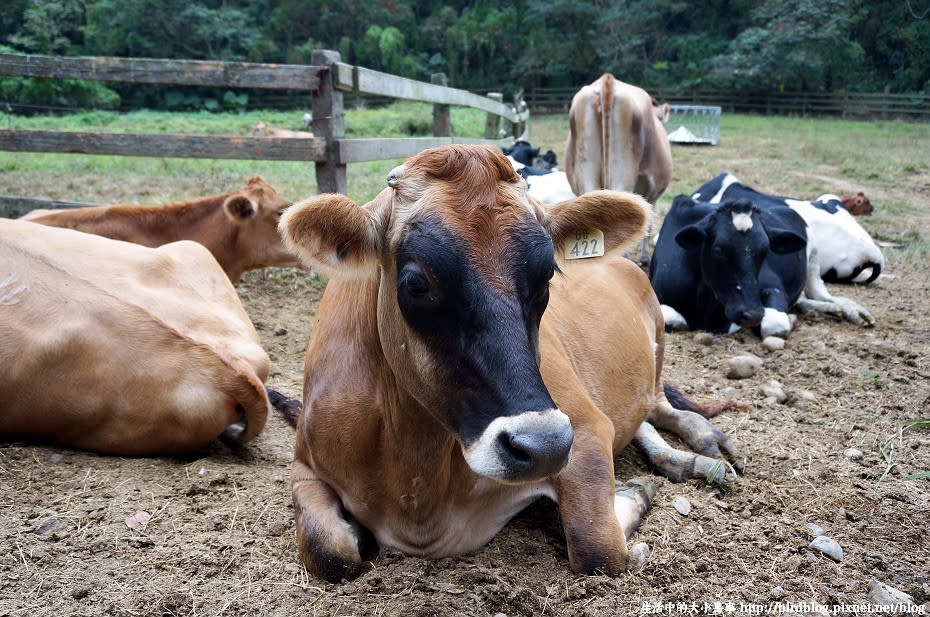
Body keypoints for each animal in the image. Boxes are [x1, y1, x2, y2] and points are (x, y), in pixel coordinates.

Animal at [280, 146, 736, 584]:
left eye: (548, 275)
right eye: (416, 282)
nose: (544, 446)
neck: (417, 490)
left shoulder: (585, 429)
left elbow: (599, 547)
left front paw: (632, 496)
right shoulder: (304, 464)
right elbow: (329, 552)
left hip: (656, 340)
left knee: (659, 406)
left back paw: (702, 445)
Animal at [648, 196, 872, 336]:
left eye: (765, 250)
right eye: (718, 250)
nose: (752, 314)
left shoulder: (771, 286)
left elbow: (774, 323)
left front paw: (789, 319)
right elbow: (673, 320)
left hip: (814, 260)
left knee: (820, 294)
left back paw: (850, 310)